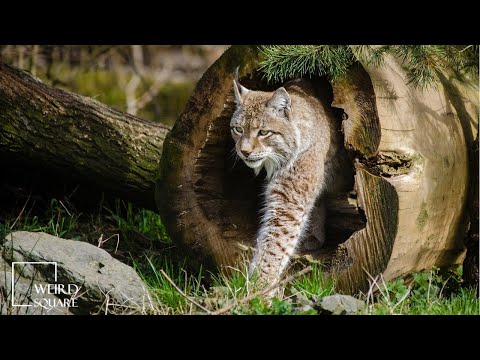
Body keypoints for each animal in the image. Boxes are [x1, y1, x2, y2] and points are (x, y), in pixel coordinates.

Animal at [230, 69, 348, 286]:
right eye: (238, 129)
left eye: (264, 132)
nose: (244, 152)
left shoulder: (289, 201)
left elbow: (274, 246)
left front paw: (259, 286)